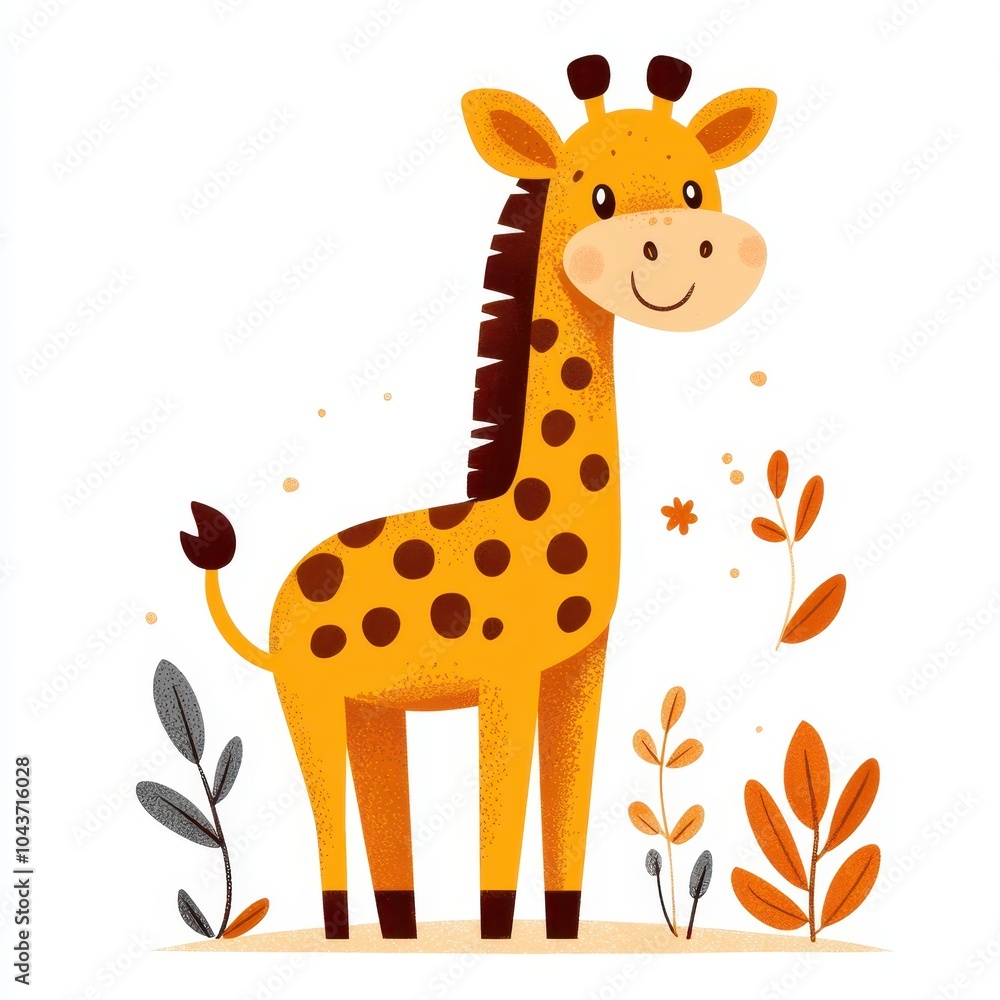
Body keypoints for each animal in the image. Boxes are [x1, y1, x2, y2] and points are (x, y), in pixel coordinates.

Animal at [181, 55, 776, 942]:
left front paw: (560, 937)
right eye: (597, 195)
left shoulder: (581, 666)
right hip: (307, 699)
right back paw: (339, 934)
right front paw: (498, 938)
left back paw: (399, 937)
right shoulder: (507, 674)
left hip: (372, 708)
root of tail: (273, 608)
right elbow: (502, 820)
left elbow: (568, 810)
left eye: (697, 188)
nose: (687, 247)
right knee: (325, 819)